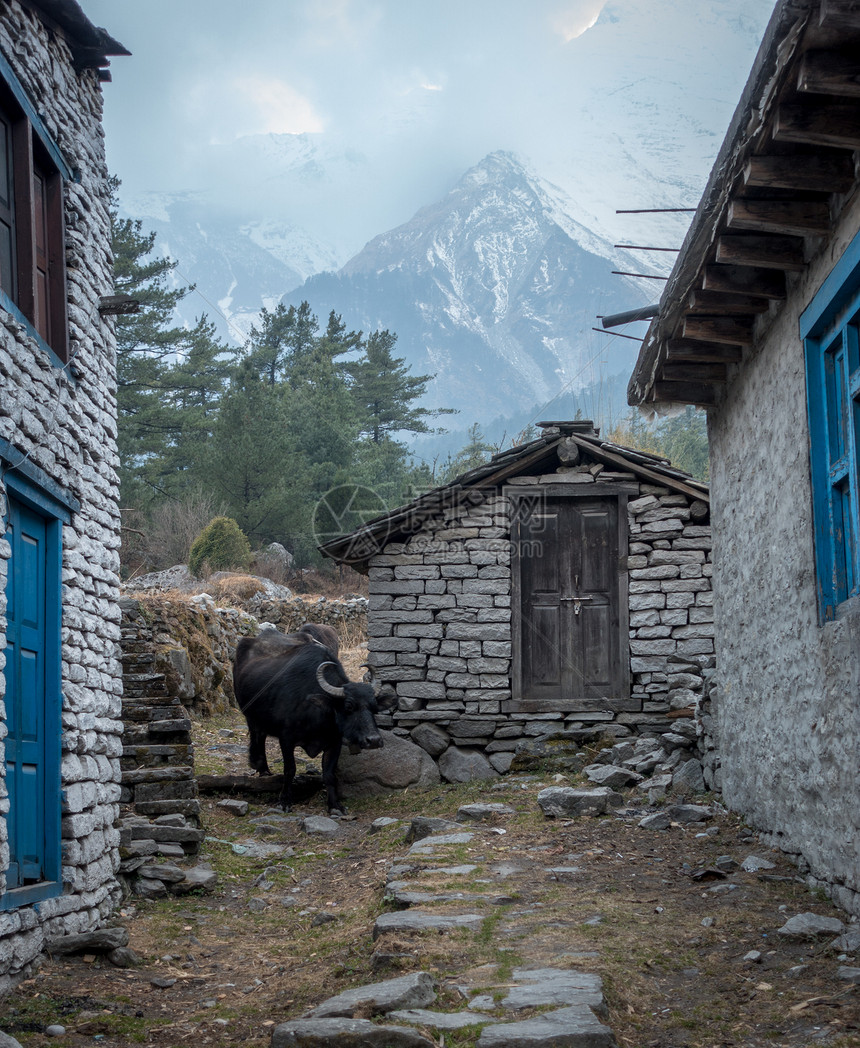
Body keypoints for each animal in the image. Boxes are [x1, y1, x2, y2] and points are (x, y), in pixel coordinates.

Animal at [228, 632, 389, 813]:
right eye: (349, 706)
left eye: (374, 708)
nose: (374, 740)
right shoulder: (286, 739)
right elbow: (290, 769)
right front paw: (285, 801)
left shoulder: (334, 742)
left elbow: (329, 773)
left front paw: (335, 805)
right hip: (250, 716)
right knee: (258, 736)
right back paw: (262, 769)